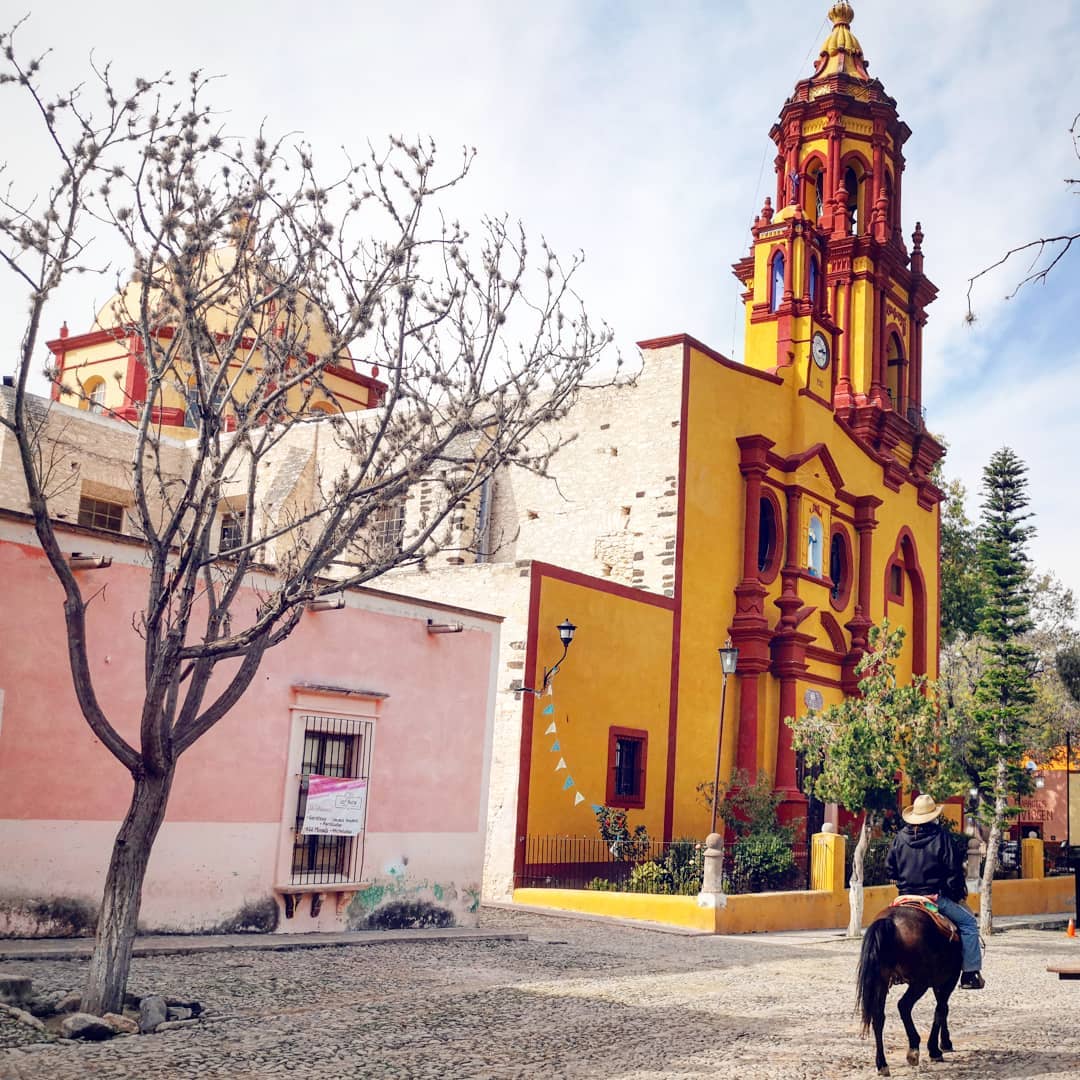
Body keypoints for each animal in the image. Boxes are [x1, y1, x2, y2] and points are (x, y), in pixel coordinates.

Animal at [859, 907, 963, 1075]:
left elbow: (943, 1008)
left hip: (882, 981)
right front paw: (935, 1050)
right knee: (904, 1005)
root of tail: (890, 920)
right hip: (920, 982)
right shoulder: (949, 979)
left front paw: (945, 1042)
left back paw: (882, 1064)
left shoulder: (939, 981)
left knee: (878, 1016)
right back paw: (913, 1049)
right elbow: (941, 1009)